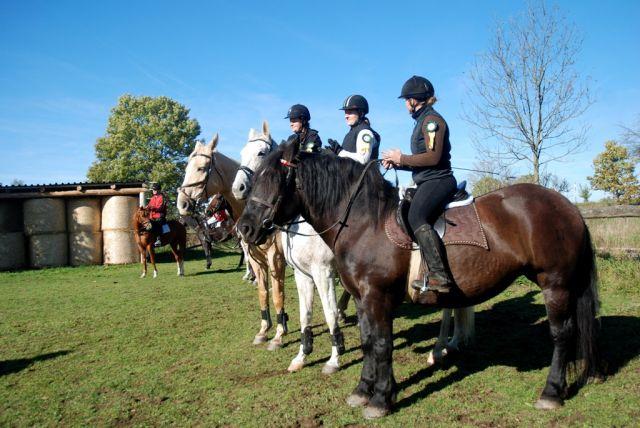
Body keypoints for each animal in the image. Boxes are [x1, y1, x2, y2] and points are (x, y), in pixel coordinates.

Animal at [177, 135, 288, 350]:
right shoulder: (256, 257)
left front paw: (279, 334)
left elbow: (277, 294)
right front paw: (265, 329)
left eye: (201, 168)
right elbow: (263, 292)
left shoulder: (276, 257)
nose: (182, 204)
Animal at [232, 121, 347, 374]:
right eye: (241, 153)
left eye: (261, 153)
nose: (238, 188)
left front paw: (334, 359)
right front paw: (301, 355)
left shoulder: (322, 272)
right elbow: (304, 314)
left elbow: (328, 313)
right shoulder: (301, 273)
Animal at [236, 142, 601, 419]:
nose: (245, 228)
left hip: (555, 284)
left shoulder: (377, 297)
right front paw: (362, 390)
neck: (365, 222)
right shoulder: (361, 298)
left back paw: (551, 392)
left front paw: (381, 398)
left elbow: (381, 344)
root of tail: (566, 206)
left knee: (561, 334)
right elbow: (367, 342)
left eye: (275, 178)